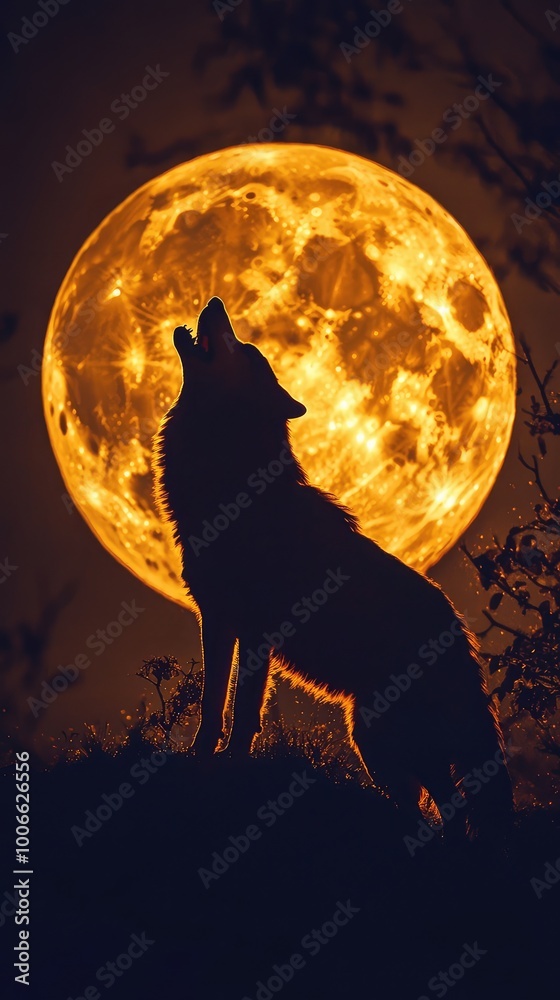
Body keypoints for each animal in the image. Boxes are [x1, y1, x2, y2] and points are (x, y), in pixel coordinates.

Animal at [153, 296, 513, 838]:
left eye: (246, 348)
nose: (216, 301)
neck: (229, 480)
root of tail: (461, 638)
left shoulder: (253, 630)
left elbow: (242, 711)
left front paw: (234, 769)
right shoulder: (216, 619)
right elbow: (212, 706)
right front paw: (199, 761)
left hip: (381, 739)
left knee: (450, 815)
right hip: (375, 743)